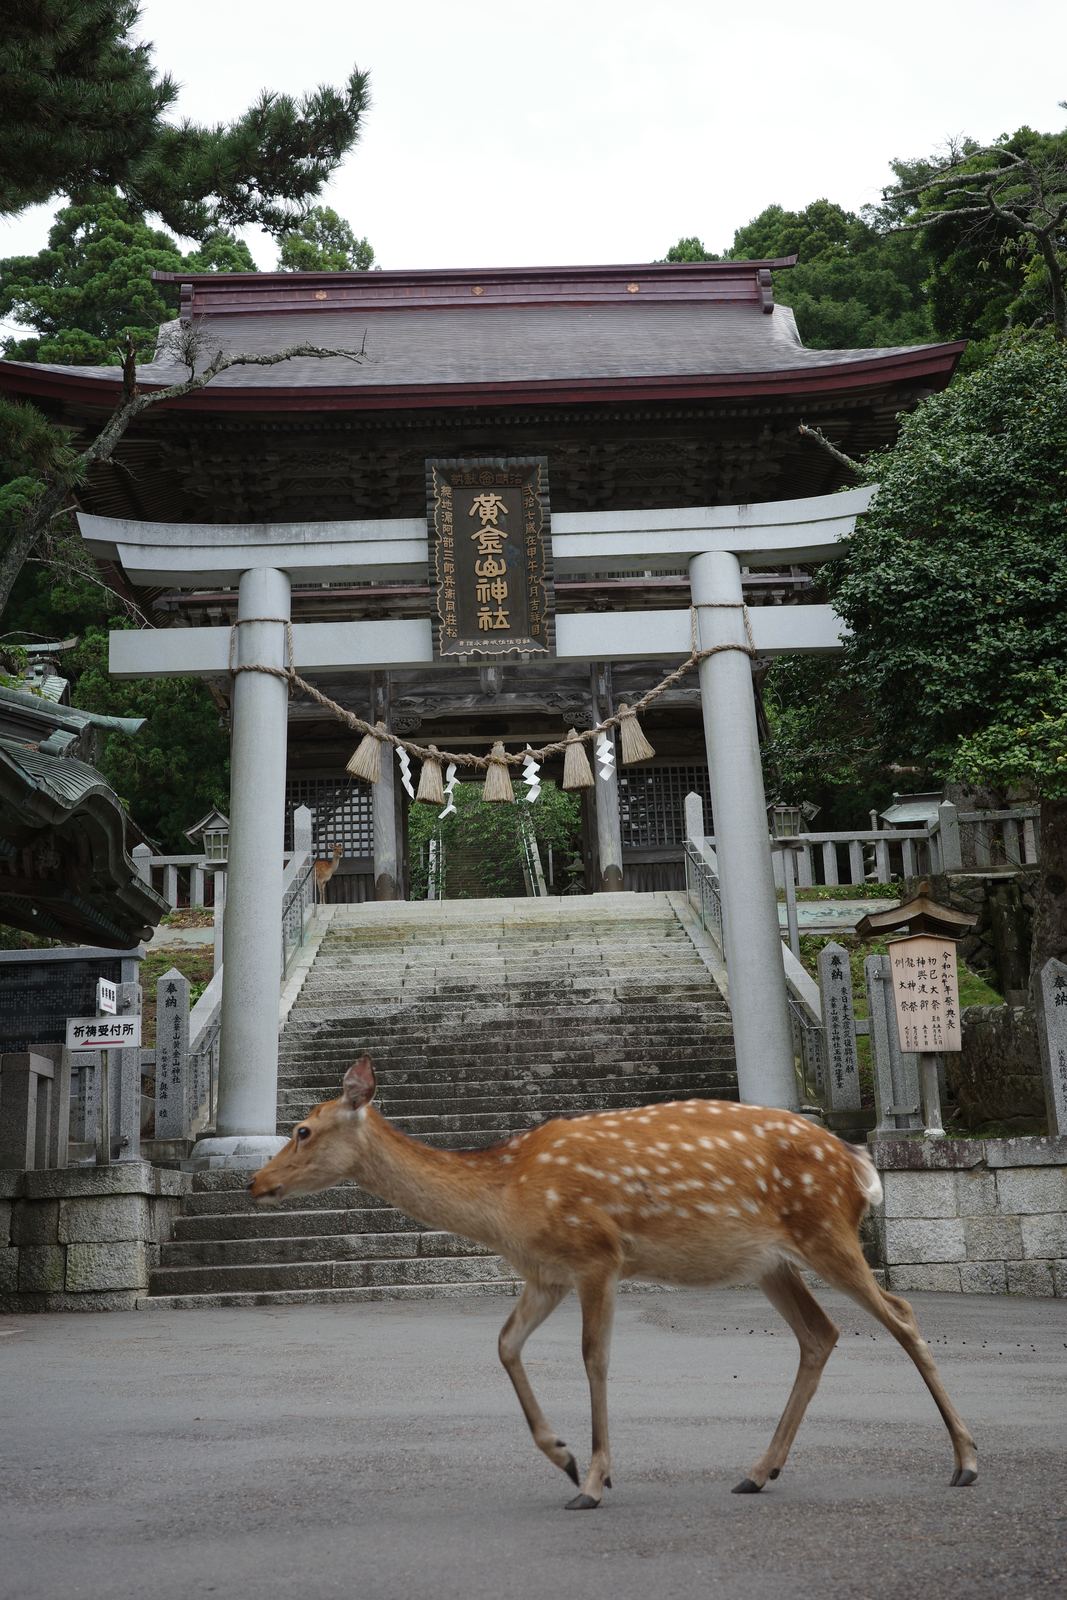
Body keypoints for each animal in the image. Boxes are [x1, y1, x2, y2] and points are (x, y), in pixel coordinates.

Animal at [249, 1057, 978, 1510]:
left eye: (302, 1129)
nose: (255, 1182)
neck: (506, 1199)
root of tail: (858, 1165)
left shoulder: (597, 1253)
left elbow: (593, 1357)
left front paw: (593, 1480)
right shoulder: (547, 1272)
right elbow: (504, 1345)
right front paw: (564, 1456)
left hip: (825, 1230)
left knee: (900, 1313)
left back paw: (965, 1461)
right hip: (771, 1261)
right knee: (819, 1334)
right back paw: (756, 1471)